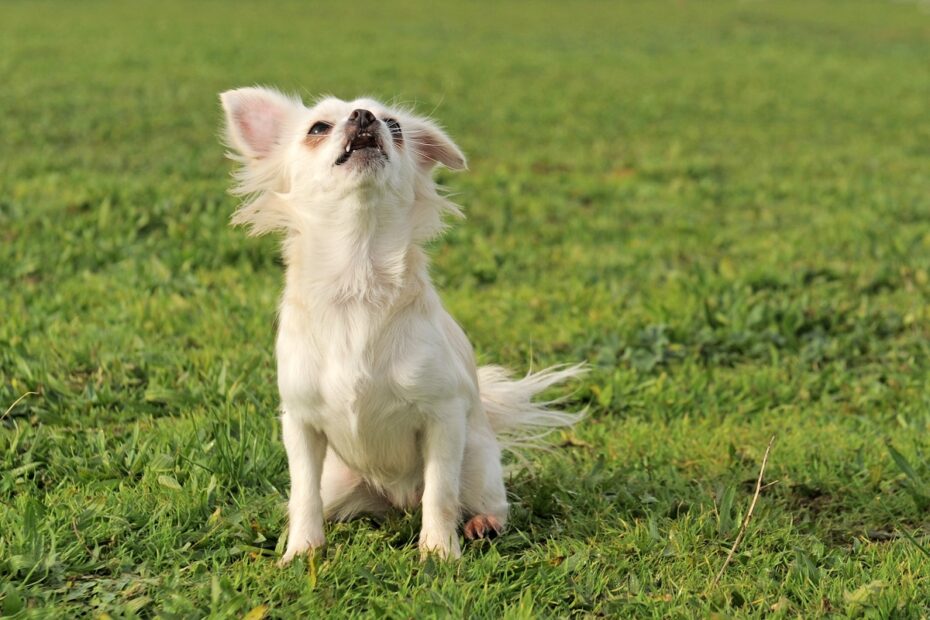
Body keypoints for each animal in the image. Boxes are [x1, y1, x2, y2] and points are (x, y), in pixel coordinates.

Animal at [218, 87, 584, 560]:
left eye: (394, 126)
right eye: (317, 128)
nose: (363, 116)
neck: (358, 282)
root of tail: (397, 499)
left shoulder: (443, 418)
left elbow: (441, 493)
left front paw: (439, 552)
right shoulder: (300, 424)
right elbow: (302, 494)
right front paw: (301, 552)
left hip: (478, 462)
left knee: (480, 500)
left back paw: (482, 523)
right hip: (340, 482)